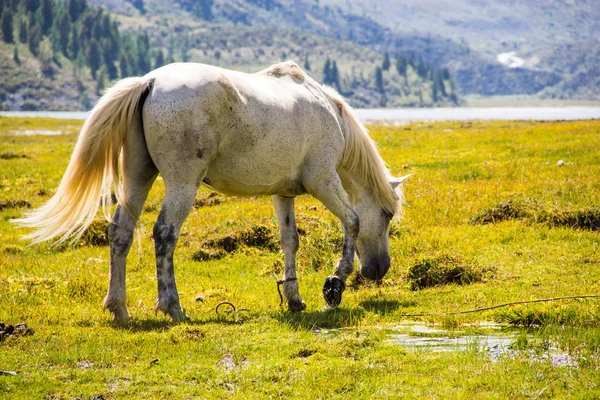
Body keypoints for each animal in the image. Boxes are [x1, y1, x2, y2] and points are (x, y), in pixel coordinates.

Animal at [14, 60, 408, 322]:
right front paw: (334, 285)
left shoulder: (283, 193)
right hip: (182, 185)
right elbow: (353, 222)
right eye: (388, 215)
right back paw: (172, 308)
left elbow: (290, 241)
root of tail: (150, 82)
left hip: (138, 176)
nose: (379, 270)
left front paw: (294, 298)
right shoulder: (323, 181)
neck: (326, 111)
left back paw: (119, 308)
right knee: (164, 234)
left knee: (120, 233)